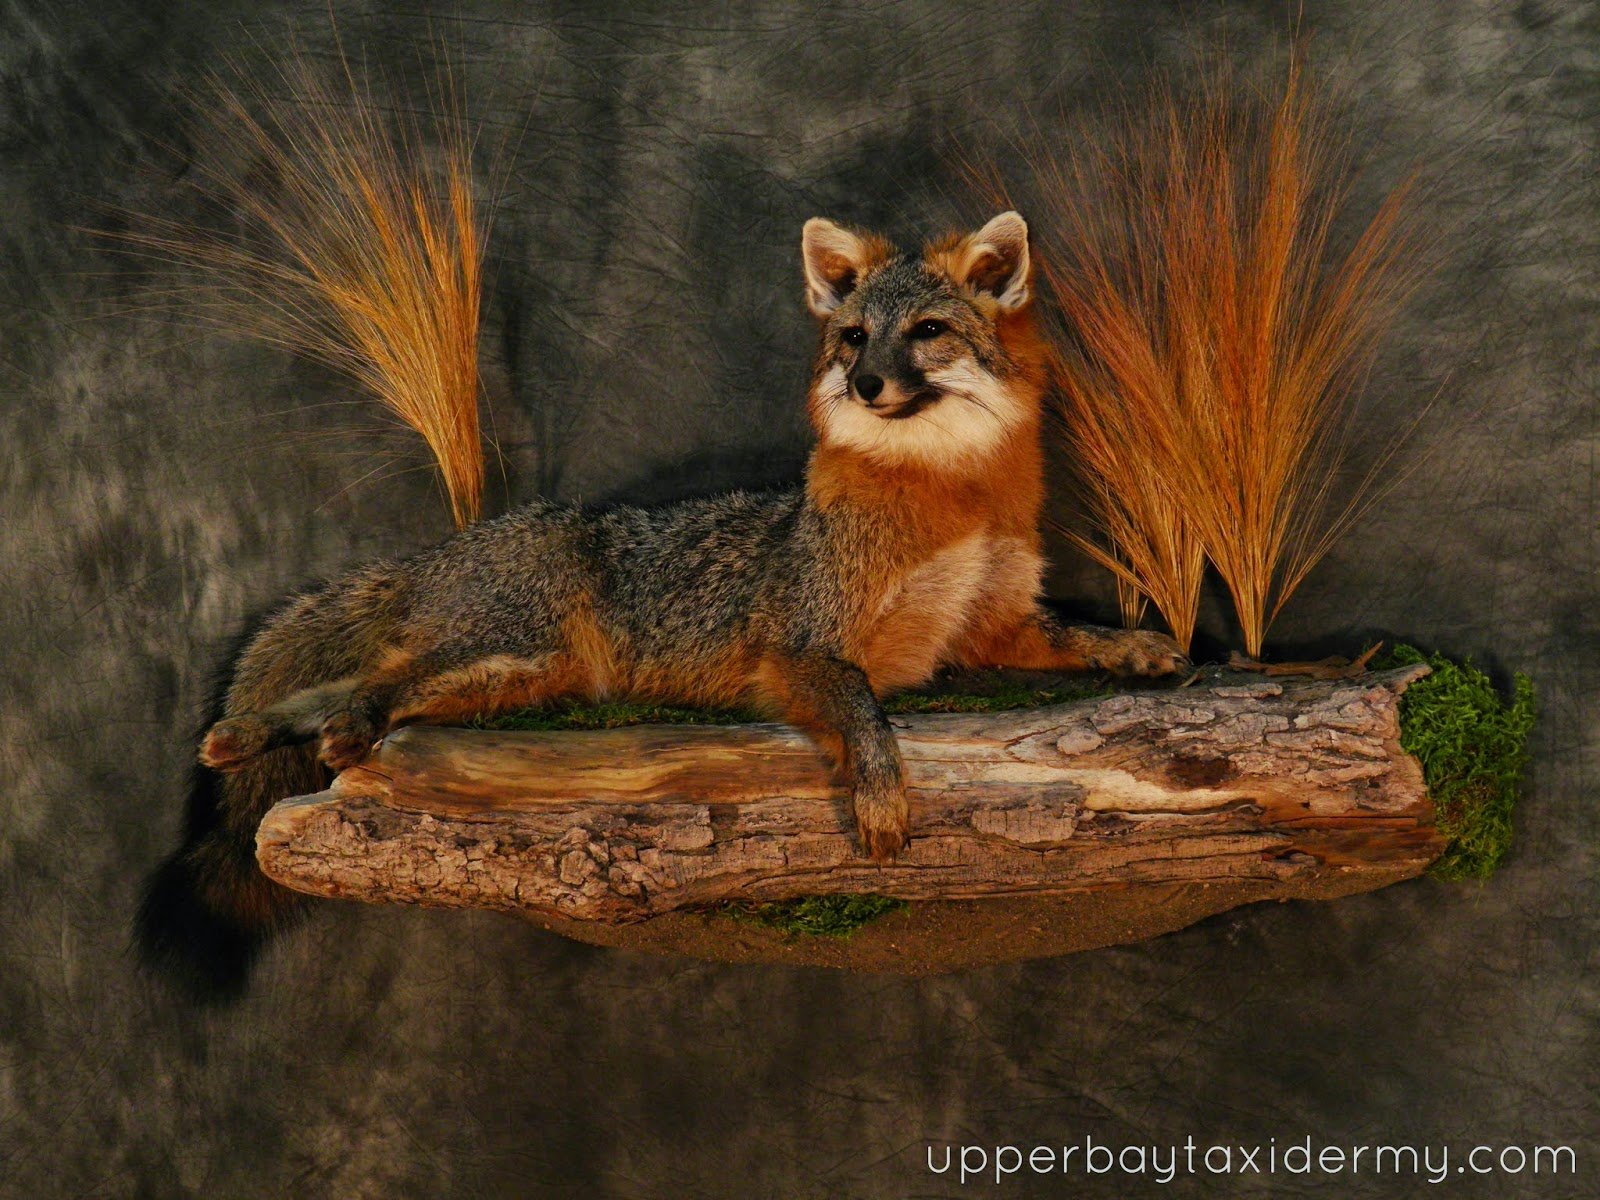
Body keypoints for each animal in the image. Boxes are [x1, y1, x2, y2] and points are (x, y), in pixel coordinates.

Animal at [137, 211, 1190, 998]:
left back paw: (250, 734)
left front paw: (1136, 648)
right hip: (512, 647)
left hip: (523, 678)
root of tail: (449, 547)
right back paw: (315, 731)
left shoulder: (989, 630)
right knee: (377, 678)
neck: (951, 496)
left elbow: (1071, 632)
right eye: (855, 337)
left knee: (365, 685)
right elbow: (864, 708)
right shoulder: (803, 647)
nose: (864, 381)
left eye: (925, 333)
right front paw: (882, 791)